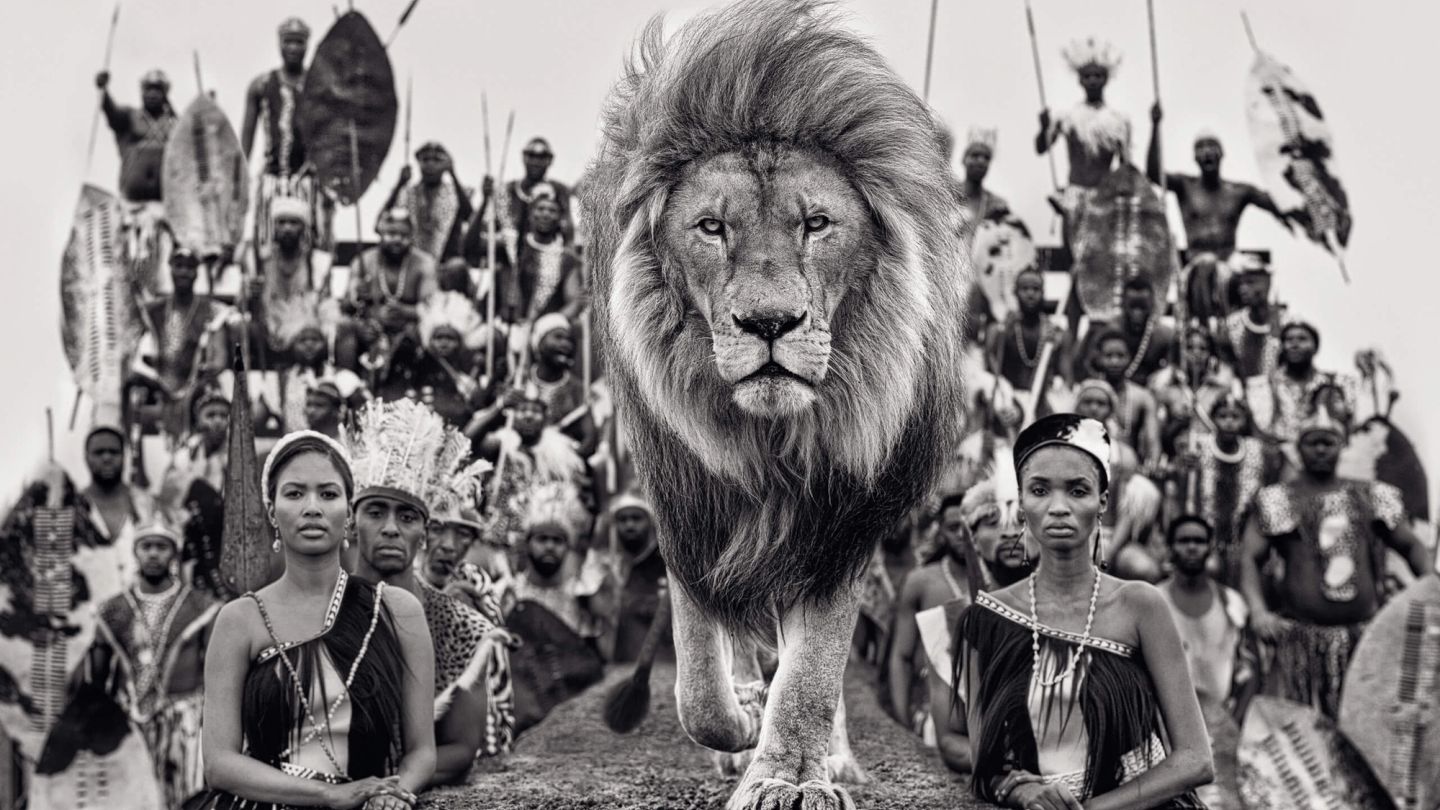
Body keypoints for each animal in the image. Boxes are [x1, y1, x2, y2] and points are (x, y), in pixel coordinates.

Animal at [581, 2, 969, 807]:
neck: (771, 442)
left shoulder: (840, 519)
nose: (769, 323)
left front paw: (790, 774)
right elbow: (698, 675)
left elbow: (814, 669)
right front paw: (740, 727)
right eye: (711, 227)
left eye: (815, 224)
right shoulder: (689, 509)